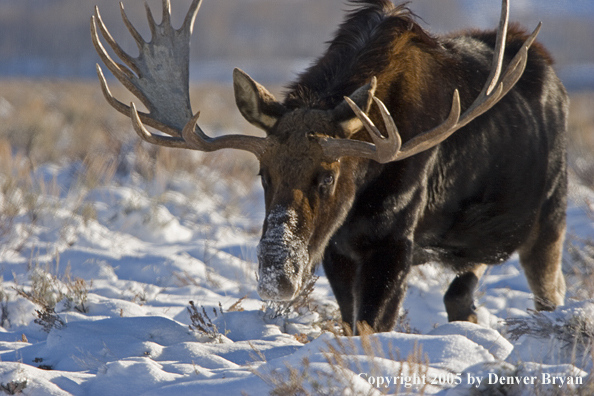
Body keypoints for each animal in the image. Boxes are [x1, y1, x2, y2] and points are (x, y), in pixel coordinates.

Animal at [91, 0, 564, 334]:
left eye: (329, 175)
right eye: (262, 174)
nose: (275, 277)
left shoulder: (394, 241)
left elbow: (372, 327)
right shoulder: (337, 247)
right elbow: (351, 321)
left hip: (549, 218)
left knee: (548, 293)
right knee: (461, 294)